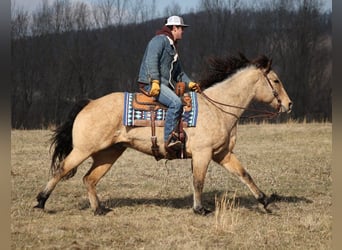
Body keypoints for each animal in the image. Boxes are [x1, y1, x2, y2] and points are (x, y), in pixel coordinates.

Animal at [34, 53, 292, 215]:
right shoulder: (203, 154)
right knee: (61, 170)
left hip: (109, 153)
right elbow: (198, 181)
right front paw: (199, 209)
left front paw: (265, 201)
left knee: (89, 179)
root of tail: (89, 103)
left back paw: (98, 209)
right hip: (83, 150)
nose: (289, 104)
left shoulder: (223, 154)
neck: (217, 108)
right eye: (276, 80)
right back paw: (41, 201)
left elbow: (244, 174)